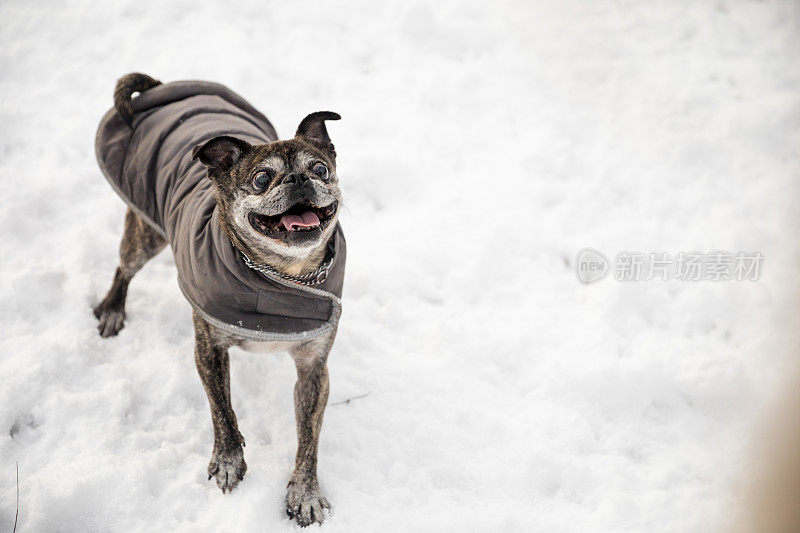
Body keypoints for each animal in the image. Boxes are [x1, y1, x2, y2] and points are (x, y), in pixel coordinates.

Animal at [91, 72, 346, 524]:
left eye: (321, 168)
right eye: (261, 179)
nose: (300, 179)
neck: (282, 277)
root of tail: (161, 87)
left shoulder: (314, 369)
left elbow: (309, 438)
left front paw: (305, 491)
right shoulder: (209, 347)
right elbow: (221, 409)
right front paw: (229, 460)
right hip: (145, 234)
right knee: (125, 267)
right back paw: (113, 310)